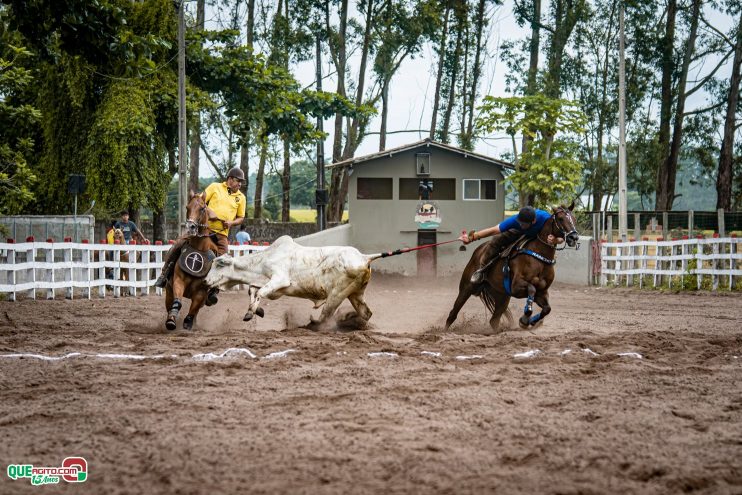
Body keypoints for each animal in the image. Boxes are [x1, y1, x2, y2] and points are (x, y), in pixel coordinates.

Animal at [165, 192, 219, 332]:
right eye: (187, 207)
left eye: (202, 208)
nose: (191, 227)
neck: (199, 248)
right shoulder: (178, 281)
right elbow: (177, 302)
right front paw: (171, 320)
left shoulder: (201, 292)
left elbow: (193, 309)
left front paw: (188, 323)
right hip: (168, 290)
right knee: (169, 305)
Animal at [206, 236, 386, 330]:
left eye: (219, 264)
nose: (206, 280)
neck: (263, 261)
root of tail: (364, 257)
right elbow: (252, 291)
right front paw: (257, 311)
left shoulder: (279, 279)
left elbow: (260, 292)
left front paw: (251, 313)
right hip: (356, 293)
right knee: (366, 313)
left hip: (336, 294)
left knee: (326, 315)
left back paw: (311, 325)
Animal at [448, 203, 580, 336]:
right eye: (561, 219)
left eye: (574, 219)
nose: (574, 237)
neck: (540, 257)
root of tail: (478, 251)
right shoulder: (516, 287)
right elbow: (531, 289)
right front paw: (525, 319)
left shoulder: (542, 291)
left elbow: (547, 308)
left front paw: (532, 321)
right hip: (466, 288)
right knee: (452, 314)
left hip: (502, 296)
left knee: (494, 320)